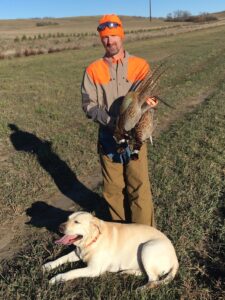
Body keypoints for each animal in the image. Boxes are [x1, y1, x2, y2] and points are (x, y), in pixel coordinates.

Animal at [43, 211, 178, 288]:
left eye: (77, 222)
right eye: (68, 219)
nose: (59, 227)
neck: (92, 240)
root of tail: (176, 259)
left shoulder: (93, 269)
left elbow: (71, 272)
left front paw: (56, 279)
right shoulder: (77, 253)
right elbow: (61, 258)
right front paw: (48, 266)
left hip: (147, 248)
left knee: (154, 280)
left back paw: (141, 289)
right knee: (145, 274)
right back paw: (126, 272)